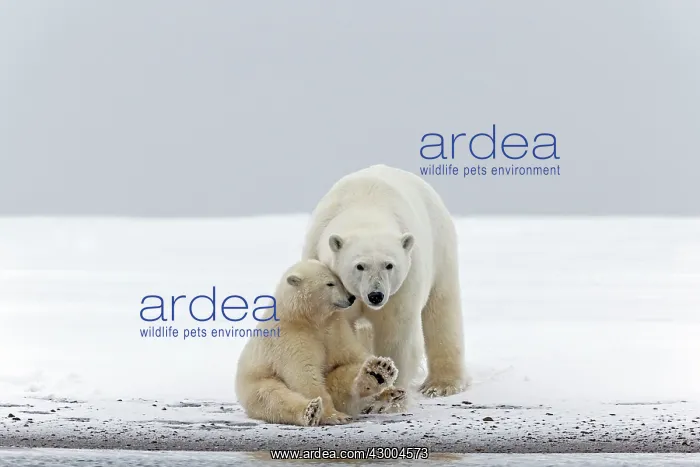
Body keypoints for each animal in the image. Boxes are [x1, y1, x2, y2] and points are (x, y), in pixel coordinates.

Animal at [235, 259, 407, 426]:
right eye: (330, 283)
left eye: (339, 280)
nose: (351, 298)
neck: (306, 317)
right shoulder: (290, 337)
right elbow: (304, 374)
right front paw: (333, 416)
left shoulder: (335, 329)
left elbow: (352, 356)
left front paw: (385, 374)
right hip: (256, 384)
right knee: (272, 397)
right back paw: (311, 411)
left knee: (341, 377)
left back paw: (379, 376)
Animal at [301, 164, 468, 397]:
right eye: (359, 266)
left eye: (389, 265)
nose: (375, 295)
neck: (366, 209)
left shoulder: (404, 283)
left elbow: (394, 331)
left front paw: (387, 383)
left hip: (441, 247)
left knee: (441, 310)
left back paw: (441, 384)